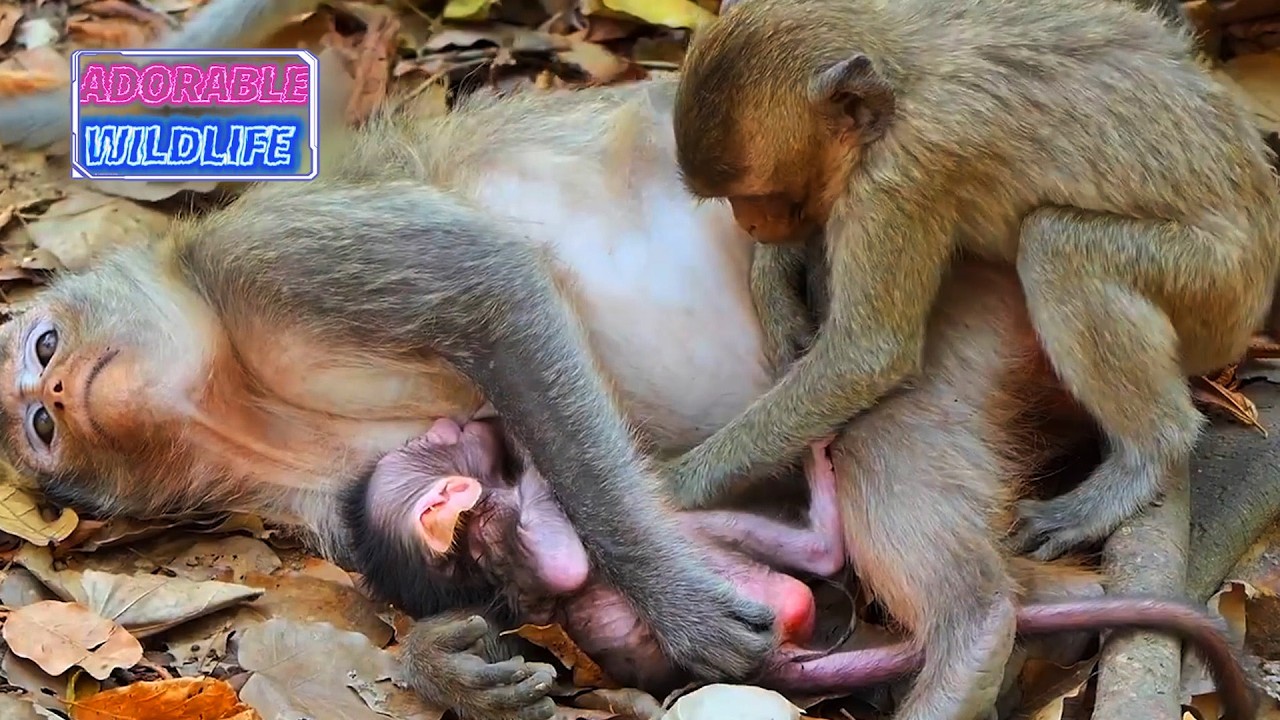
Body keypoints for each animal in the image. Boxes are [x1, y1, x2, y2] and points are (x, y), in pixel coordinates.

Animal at [344, 416, 1258, 720]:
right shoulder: (515, 545)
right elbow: (561, 567)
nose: (462, 419)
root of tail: (778, 660)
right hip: (771, 603)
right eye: (437, 442)